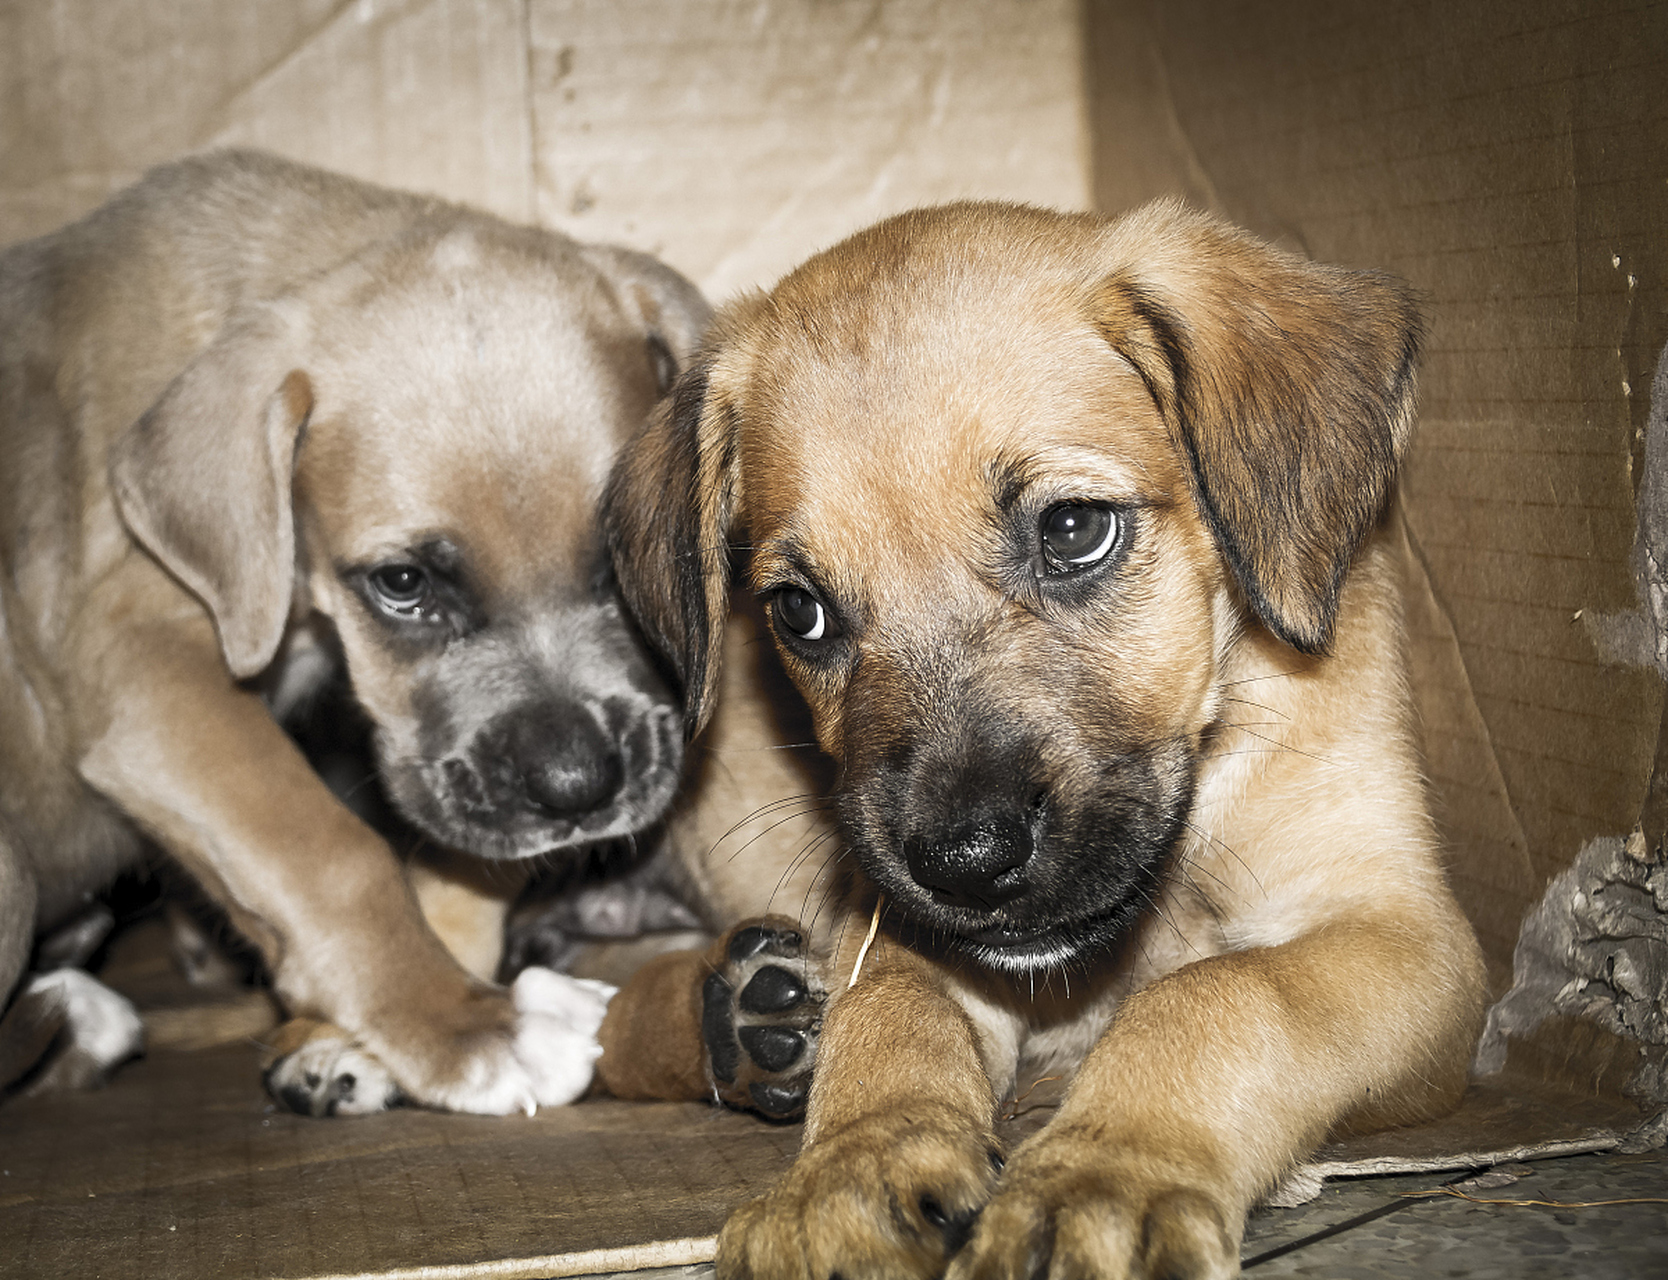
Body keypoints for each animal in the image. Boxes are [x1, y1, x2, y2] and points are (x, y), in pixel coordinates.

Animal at [0, 147, 710, 1108]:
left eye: (628, 554)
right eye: (402, 584)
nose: (576, 790)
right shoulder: (142, 664)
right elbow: (326, 851)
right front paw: (470, 1024)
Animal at [607, 202, 1494, 1280]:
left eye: (1074, 529)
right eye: (798, 612)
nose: (967, 860)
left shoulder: (1403, 934)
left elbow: (1223, 993)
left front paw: (1100, 1174)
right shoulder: (896, 921)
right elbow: (890, 1009)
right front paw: (849, 1165)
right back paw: (744, 1010)